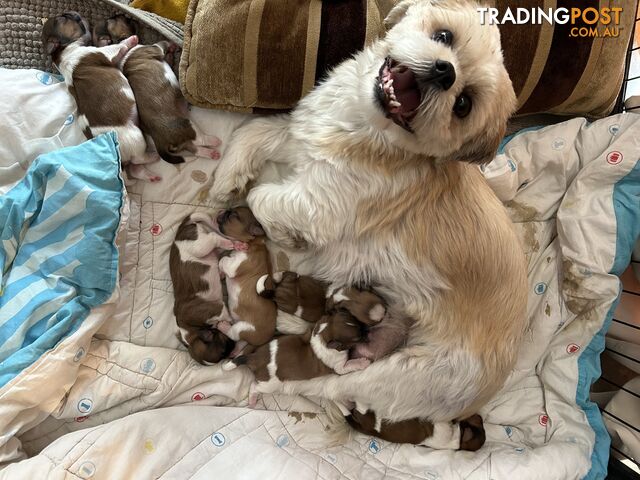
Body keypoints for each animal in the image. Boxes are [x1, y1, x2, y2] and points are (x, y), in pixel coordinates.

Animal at [42, 12, 162, 184]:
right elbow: (119, 46)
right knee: (138, 159)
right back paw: (154, 156)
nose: (75, 13)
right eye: (62, 18)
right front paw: (132, 39)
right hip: (136, 137)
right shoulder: (107, 52)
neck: (61, 52)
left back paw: (151, 175)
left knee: (136, 169)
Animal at [169, 212, 246, 366]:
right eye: (223, 352)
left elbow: (227, 317)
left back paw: (232, 243)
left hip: (199, 247)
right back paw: (237, 244)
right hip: (210, 250)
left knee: (214, 237)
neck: (191, 329)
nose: (230, 355)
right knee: (219, 244)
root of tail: (179, 233)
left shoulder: (218, 308)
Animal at [216, 207, 276, 352]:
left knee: (233, 333)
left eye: (233, 215)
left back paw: (223, 327)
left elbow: (223, 259)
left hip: (243, 328)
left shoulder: (233, 266)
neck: (254, 243)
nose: (224, 210)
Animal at [224, 310, 370, 406]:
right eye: (357, 339)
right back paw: (253, 399)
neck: (323, 335)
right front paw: (362, 362)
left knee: (244, 348)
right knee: (254, 386)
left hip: (258, 344)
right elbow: (349, 365)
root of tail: (254, 357)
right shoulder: (339, 367)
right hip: (269, 385)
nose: (367, 329)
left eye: (355, 319)